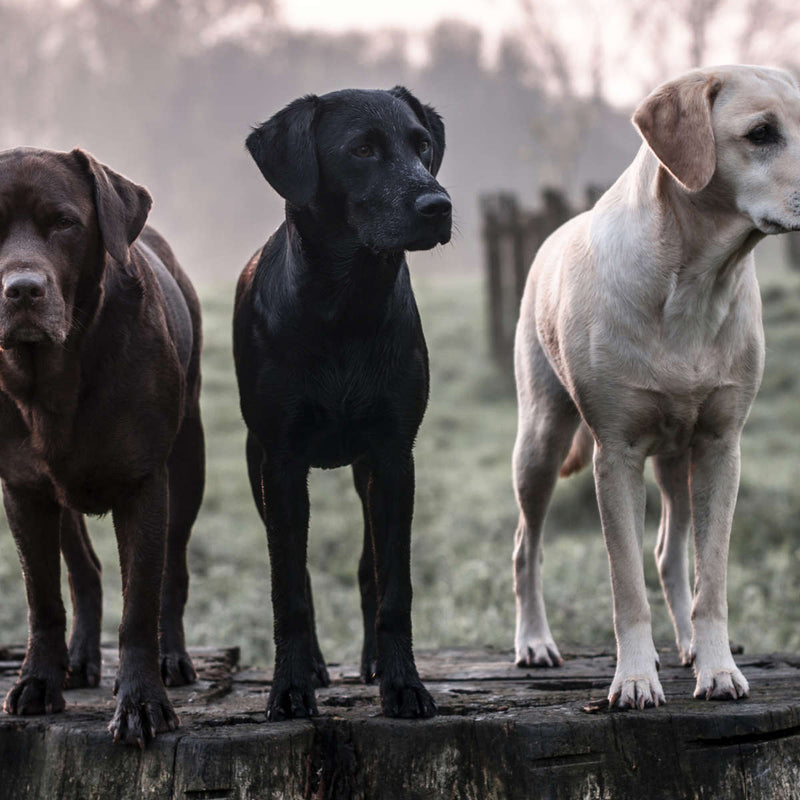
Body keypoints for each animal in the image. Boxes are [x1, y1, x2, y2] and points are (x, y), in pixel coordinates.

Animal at [234, 86, 454, 720]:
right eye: (361, 150)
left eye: (421, 145)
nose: (438, 205)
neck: (345, 306)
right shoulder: (280, 464)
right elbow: (289, 589)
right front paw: (290, 687)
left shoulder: (393, 457)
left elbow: (393, 585)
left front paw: (403, 684)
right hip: (256, 464)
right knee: (301, 574)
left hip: (364, 470)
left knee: (367, 569)